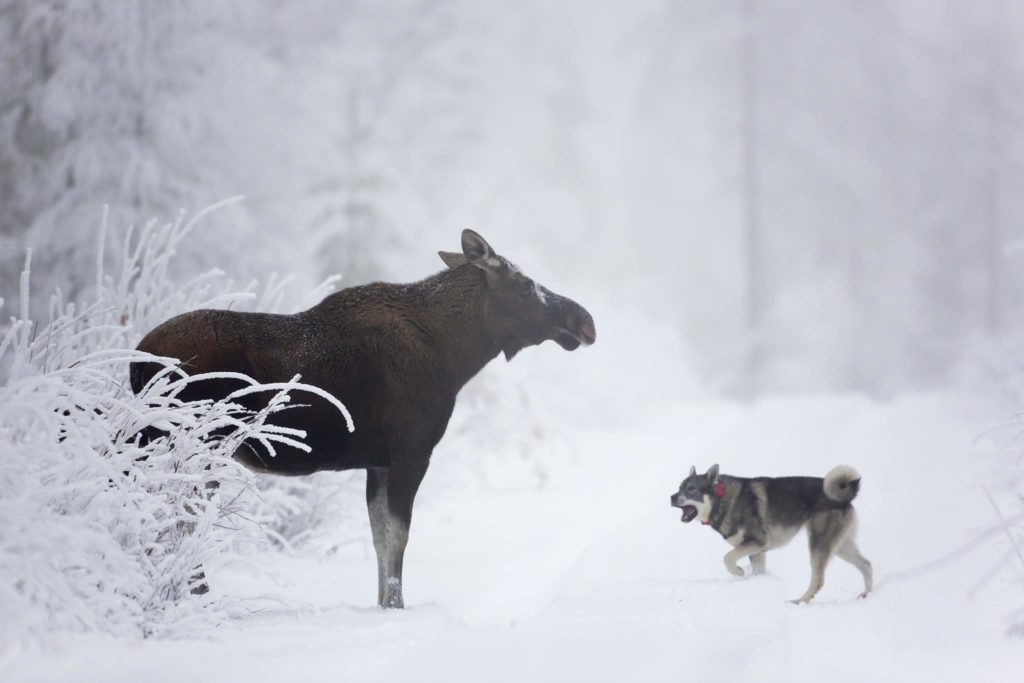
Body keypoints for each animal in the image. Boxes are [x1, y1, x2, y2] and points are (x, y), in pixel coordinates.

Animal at [129, 229, 598, 610]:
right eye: (524, 283)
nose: (585, 321)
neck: (456, 357)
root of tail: (137, 360)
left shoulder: (378, 462)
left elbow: (378, 537)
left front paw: (381, 604)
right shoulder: (412, 452)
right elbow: (399, 535)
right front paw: (396, 605)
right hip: (193, 444)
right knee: (180, 516)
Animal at [671, 464, 872, 602]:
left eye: (691, 489)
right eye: (680, 487)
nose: (671, 497)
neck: (722, 500)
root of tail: (845, 498)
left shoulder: (758, 542)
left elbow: (727, 558)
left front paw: (739, 572)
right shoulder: (757, 551)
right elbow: (756, 569)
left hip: (818, 544)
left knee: (819, 580)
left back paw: (800, 601)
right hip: (841, 546)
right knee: (866, 564)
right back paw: (867, 594)